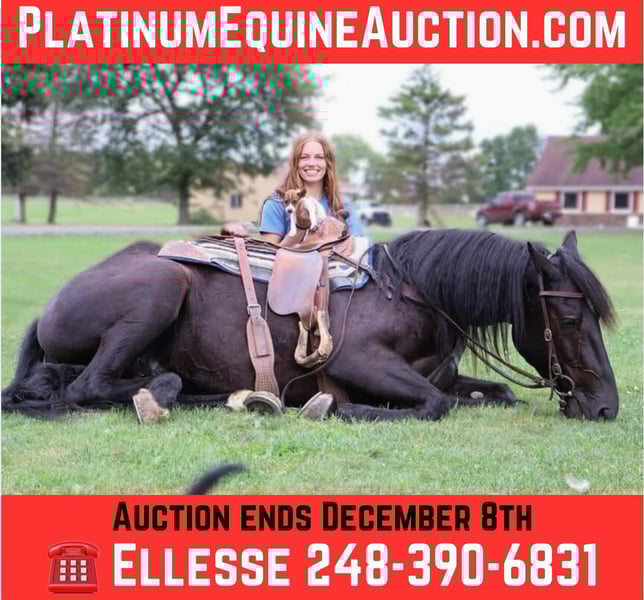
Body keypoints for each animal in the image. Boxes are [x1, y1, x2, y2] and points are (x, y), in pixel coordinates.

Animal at [1, 228, 619, 422]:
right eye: (568, 316)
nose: (606, 406)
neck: (416, 294)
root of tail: (48, 308)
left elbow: (483, 393)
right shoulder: (356, 359)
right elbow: (434, 403)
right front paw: (346, 408)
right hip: (161, 286)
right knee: (90, 387)